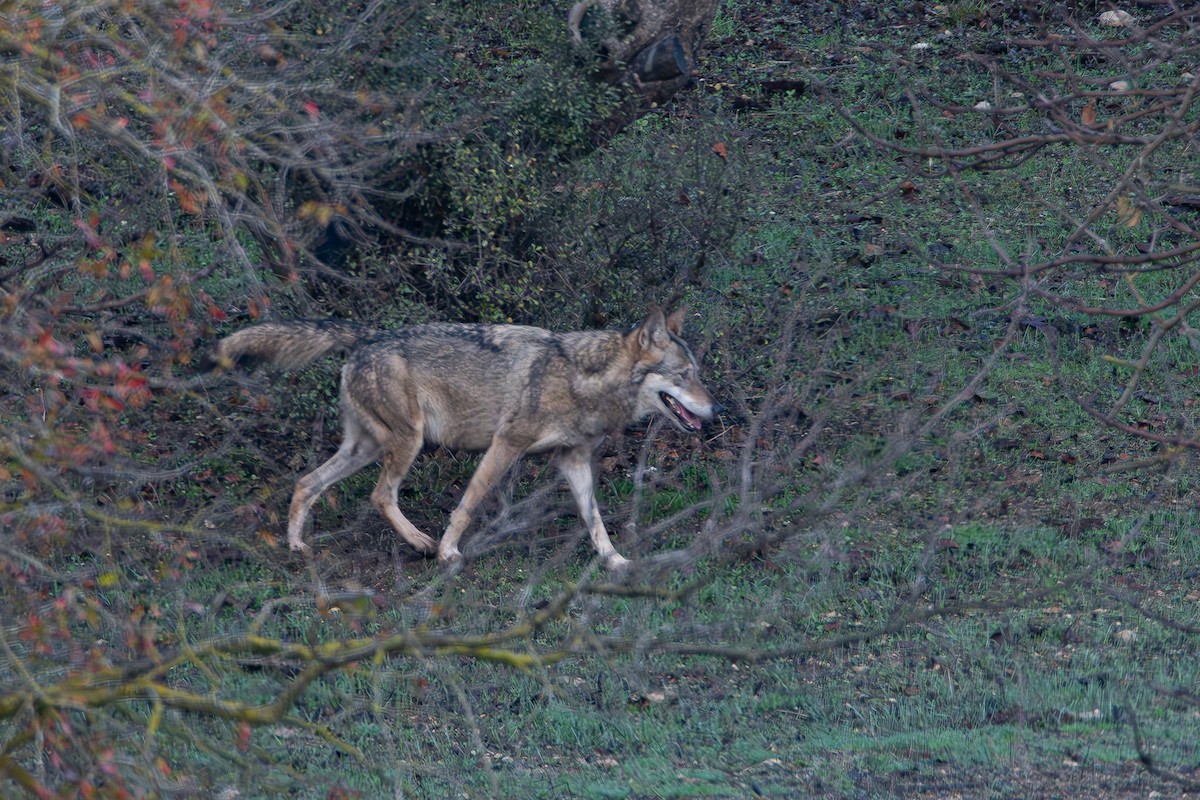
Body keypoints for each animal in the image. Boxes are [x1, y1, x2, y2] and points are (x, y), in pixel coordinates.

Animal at [209, 308, 717, 570]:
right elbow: (468, 503)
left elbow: (595, 521)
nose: (718, 411)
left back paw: (296, 546)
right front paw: (448, 551)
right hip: (406, 444)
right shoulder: (505, 444)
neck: (582, 379)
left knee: (306, 483)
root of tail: (368, 335)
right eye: (684, 376)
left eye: (698, 373)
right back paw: (421, 543)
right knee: (379, 495)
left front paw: (615, 562)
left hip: (366, 448)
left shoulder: (572, 461)